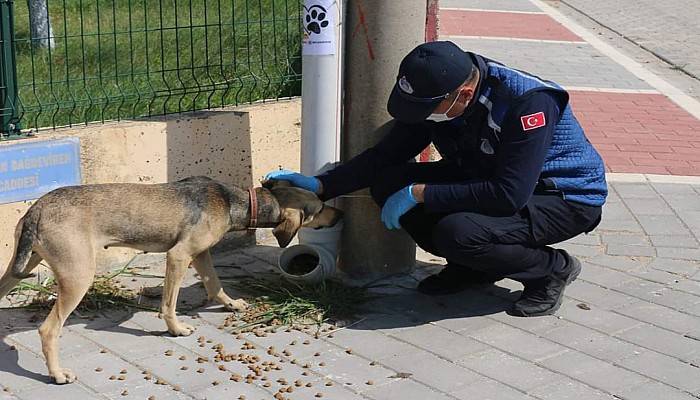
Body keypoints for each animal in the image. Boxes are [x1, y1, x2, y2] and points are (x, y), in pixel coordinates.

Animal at [0, 177, 340, 382]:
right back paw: (57, 374)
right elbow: (169, 303)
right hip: (78, 275)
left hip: (20, 266)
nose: (340, 216)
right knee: (48, 330)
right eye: (320, 207)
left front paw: (231, 304)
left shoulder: (201, 255)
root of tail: (37, 208)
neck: (235, 202)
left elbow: (215, 284)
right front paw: (176, 328)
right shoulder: (179, 256)